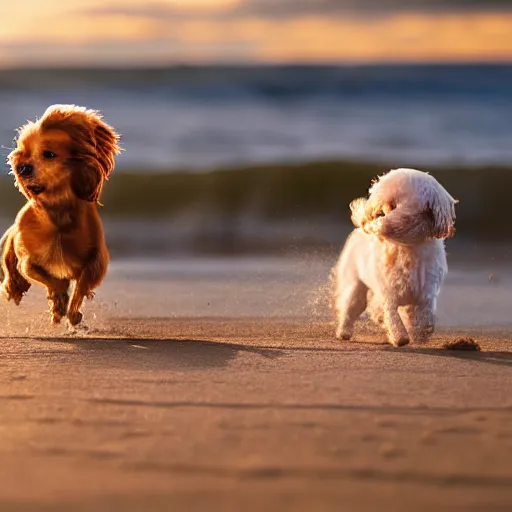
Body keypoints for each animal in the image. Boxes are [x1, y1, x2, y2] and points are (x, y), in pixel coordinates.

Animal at [0, 105, 120, 324]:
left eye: (49, 154)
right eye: (23, 152)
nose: (22, 167)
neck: (57, 213)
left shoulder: (96, 261)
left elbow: (81, 286)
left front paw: (72, 312)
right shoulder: (27, 260)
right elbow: (44, 276)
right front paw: (59, 301)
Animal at [334, 168, 458, 348]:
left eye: (394, 205)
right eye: (385, 206)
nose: (377, 215)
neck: (407, 246)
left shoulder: (426, 291)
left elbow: (425, 319)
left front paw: (418, 334)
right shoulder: (388, 292)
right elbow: (391, 315)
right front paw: (400, 337)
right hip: (355, 284)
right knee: (351, 306)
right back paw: (344, 332)